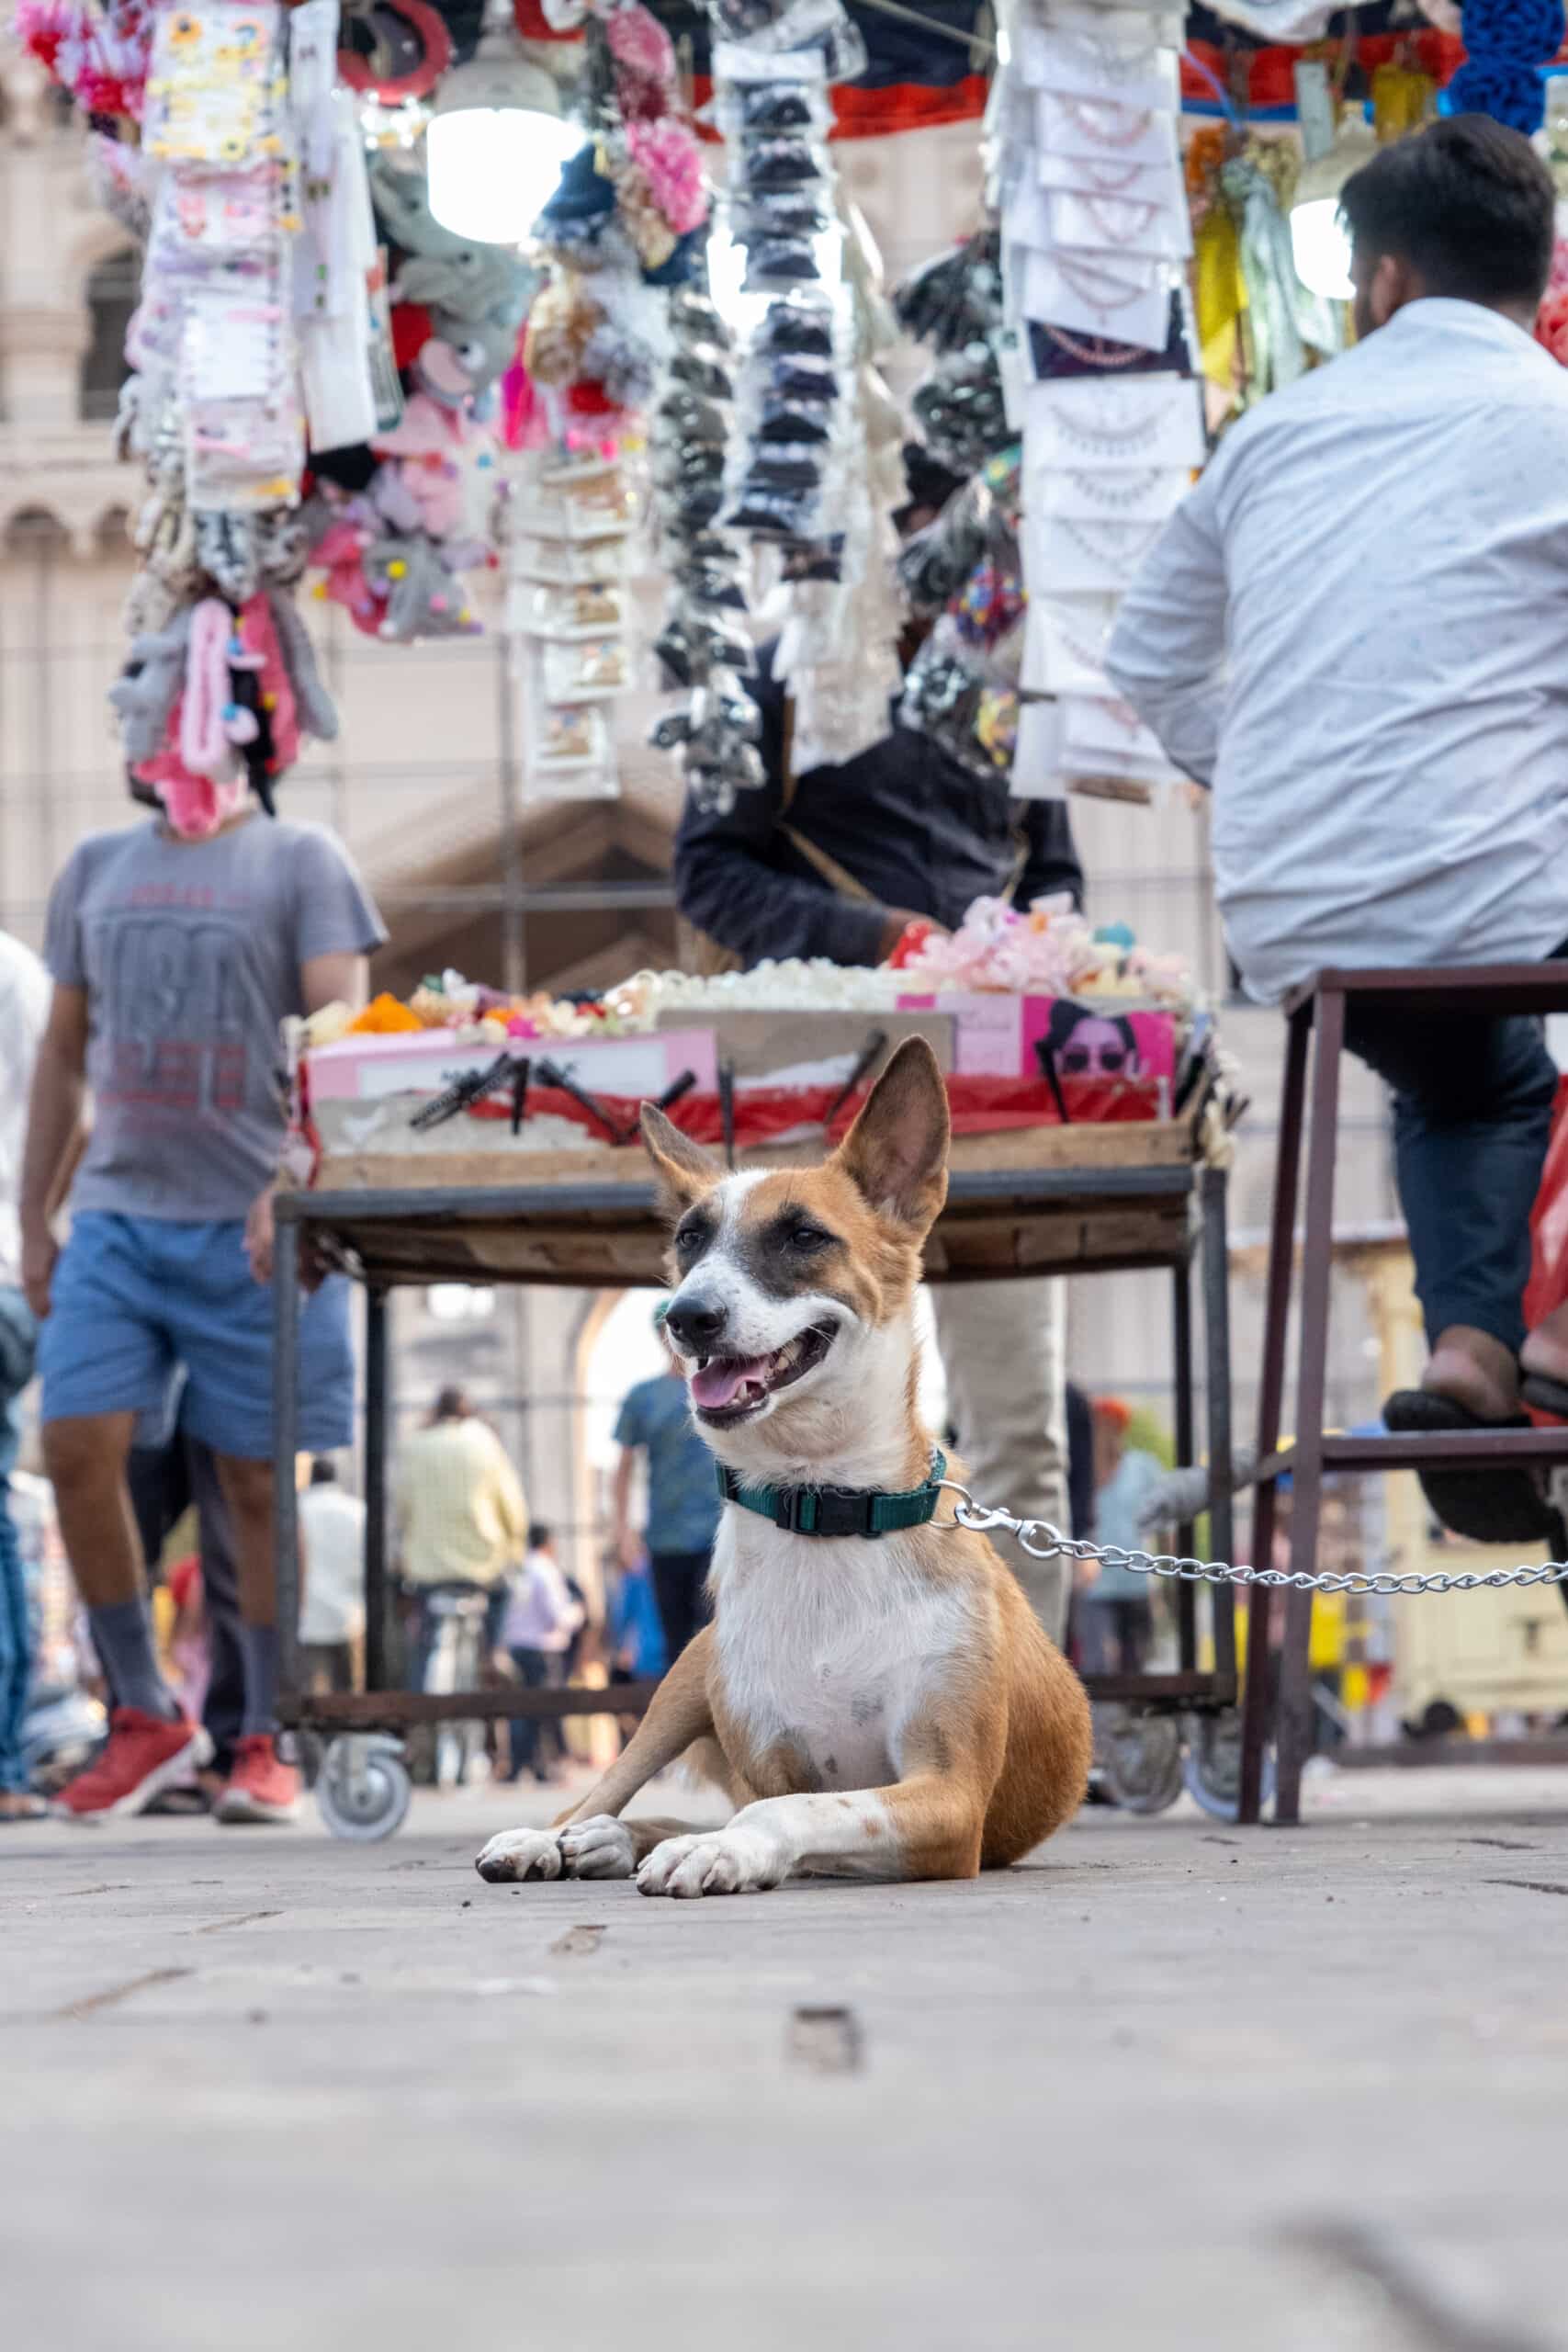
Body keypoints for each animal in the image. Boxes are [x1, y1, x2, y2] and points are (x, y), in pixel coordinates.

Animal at [474, 1039, 1090, 1900]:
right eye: (689, 1239)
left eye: (804, 1236)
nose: (686, 1317)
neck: (821, 1502)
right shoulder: (772, 1757)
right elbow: (775, 1800)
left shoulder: (951, 1797)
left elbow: (787, 1812)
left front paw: (718, 1851)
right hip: (683, 1682)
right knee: (601, 1793)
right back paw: (560, 1836)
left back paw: (613, 1843)